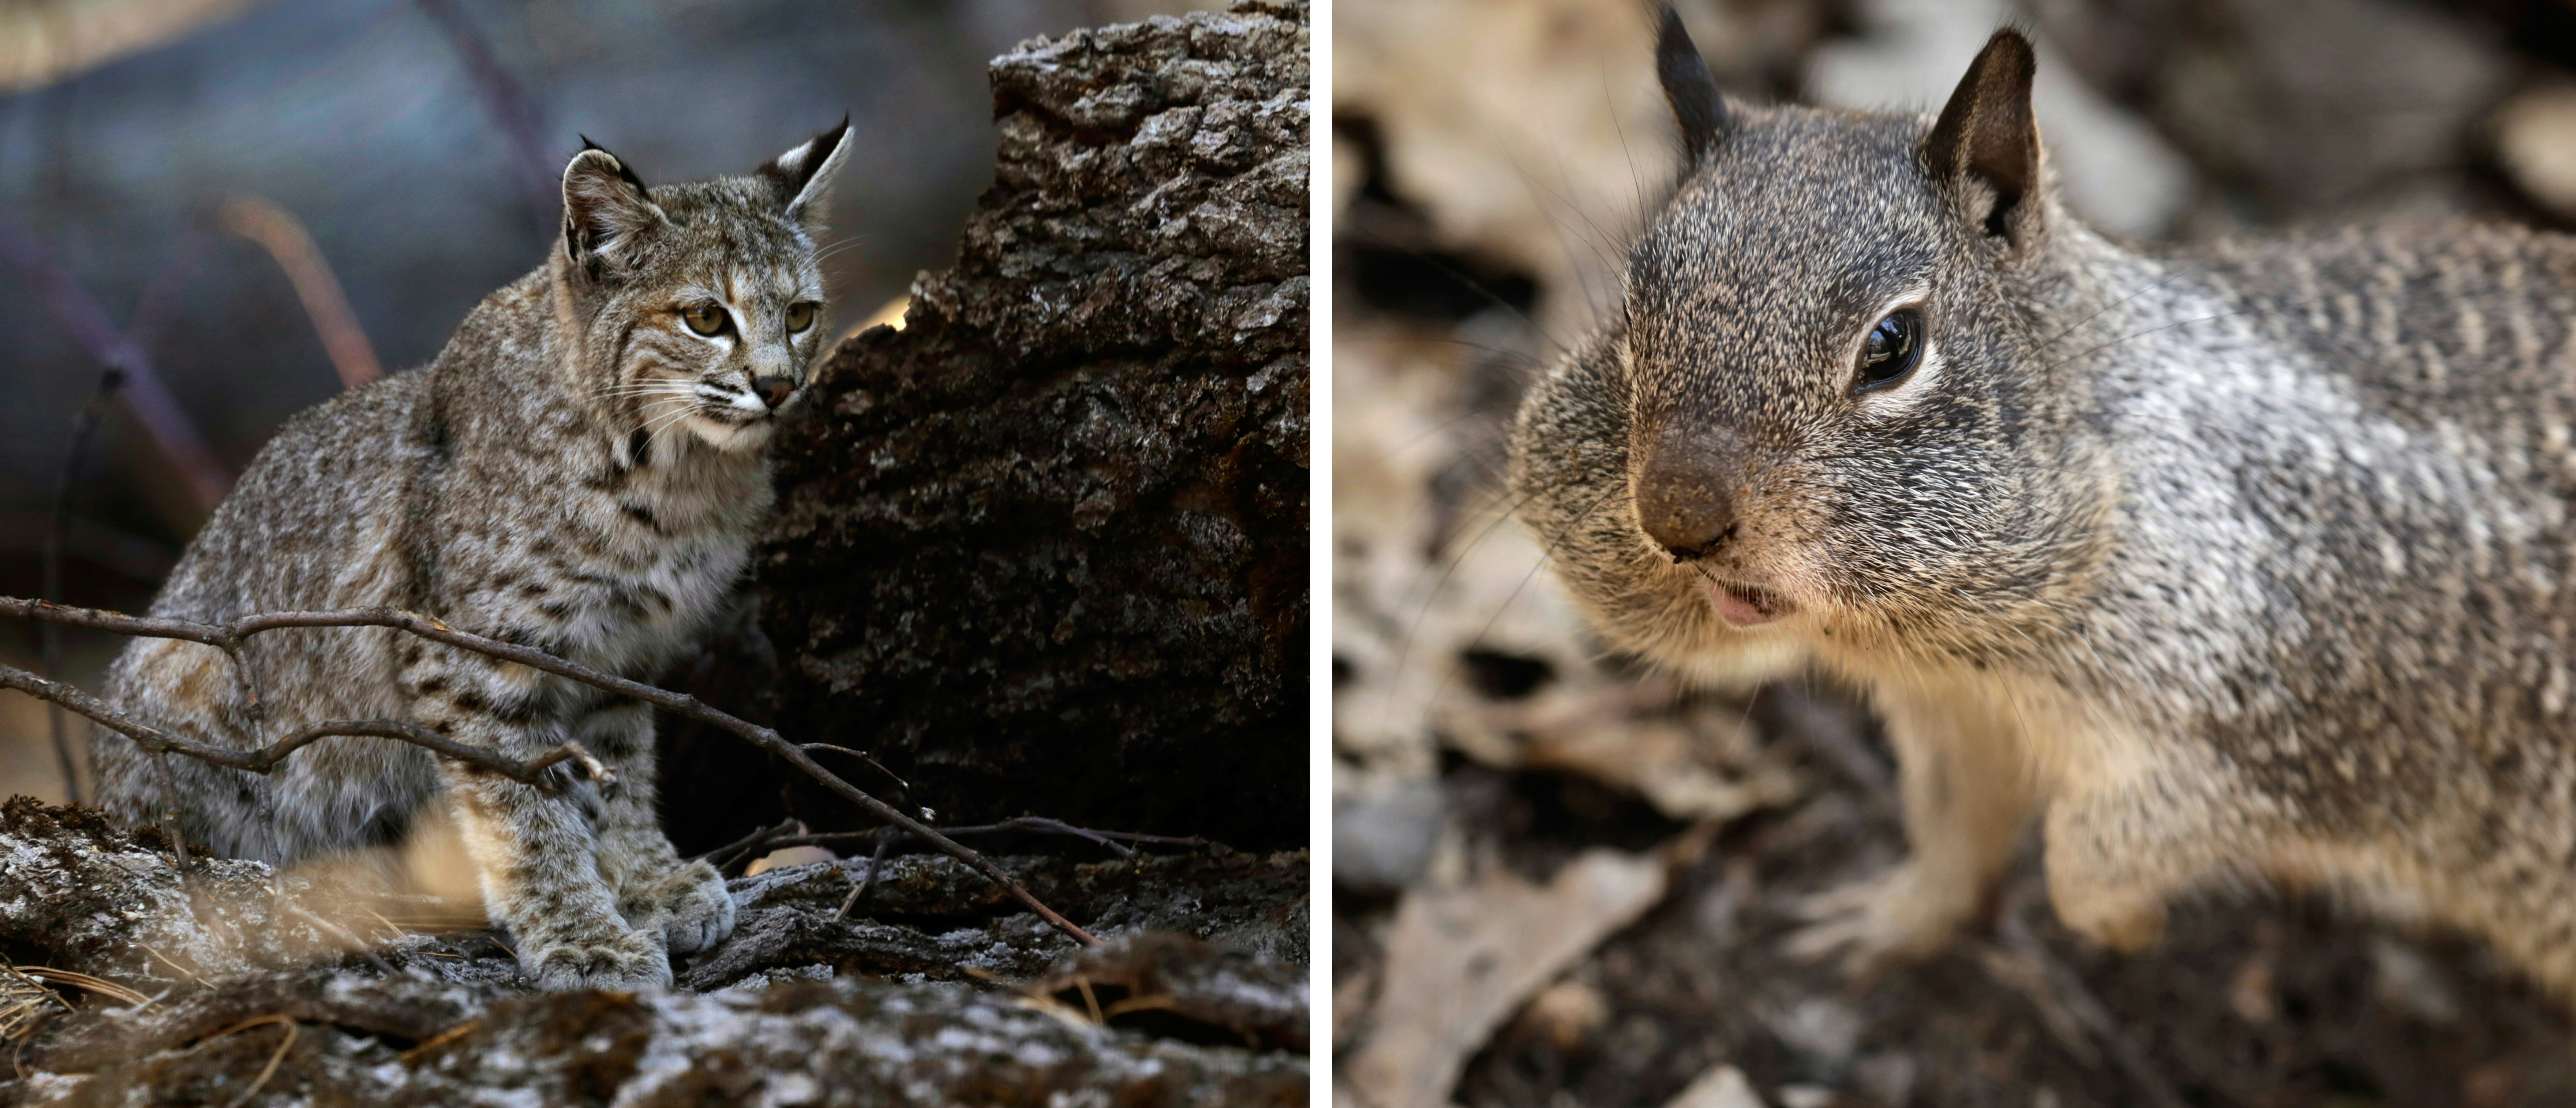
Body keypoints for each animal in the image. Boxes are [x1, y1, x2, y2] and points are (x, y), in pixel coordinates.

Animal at [1504, 8, 2576, 995]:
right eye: (1631, 309)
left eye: (1892, 344)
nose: (1677, 519)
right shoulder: (1952, 723)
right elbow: (1953, 831)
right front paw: (1885, 923)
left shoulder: (2273, 740)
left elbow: (2090, 852)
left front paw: (2119, 925)